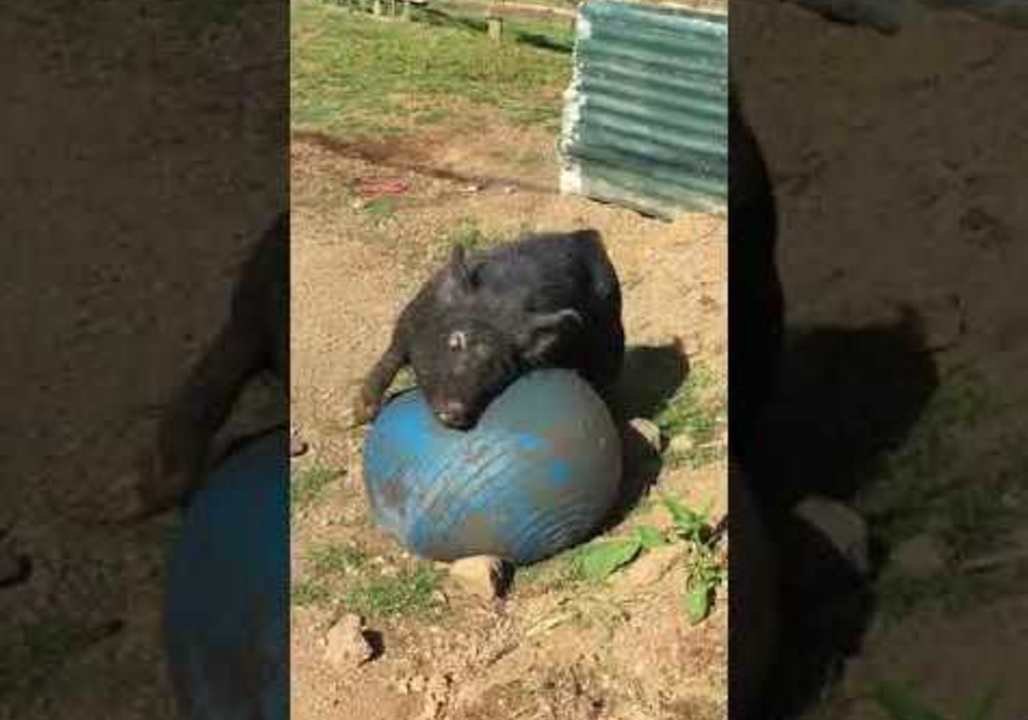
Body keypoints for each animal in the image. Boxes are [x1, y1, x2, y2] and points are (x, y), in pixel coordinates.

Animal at [353, 229, 625, 430]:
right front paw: (362, 415)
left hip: (611, 336)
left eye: (502, 367)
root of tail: (588, 235)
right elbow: (391, 357)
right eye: (456, 340)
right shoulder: (410, 318)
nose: (455, 412)